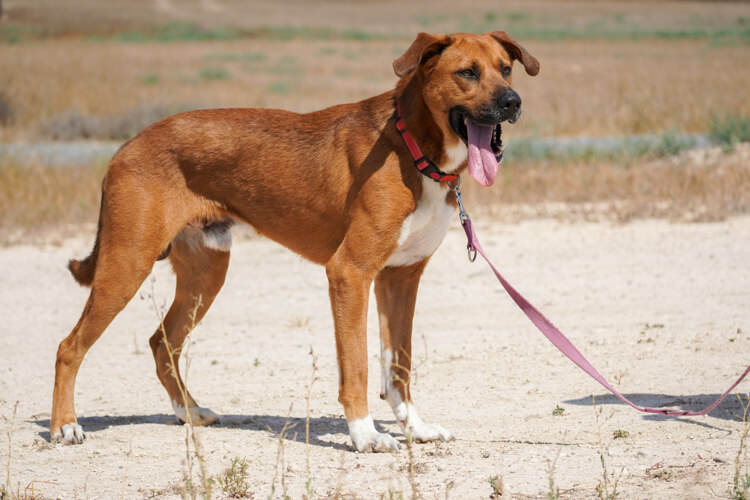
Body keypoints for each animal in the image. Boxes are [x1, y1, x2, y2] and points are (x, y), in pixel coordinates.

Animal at [50, 31, 536, 454]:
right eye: (467, 72)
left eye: (506, 69)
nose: (512, 102)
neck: (413, 146)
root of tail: (124, 147)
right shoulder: (350, 274)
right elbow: (357, 366)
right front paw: (366, 436)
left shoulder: (401, 278)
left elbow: (399, 365)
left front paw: (415, 428)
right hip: (127, 264)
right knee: (69, 347)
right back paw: (65, 427)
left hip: (206, 275)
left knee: (161, 342)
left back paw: (188, 411)